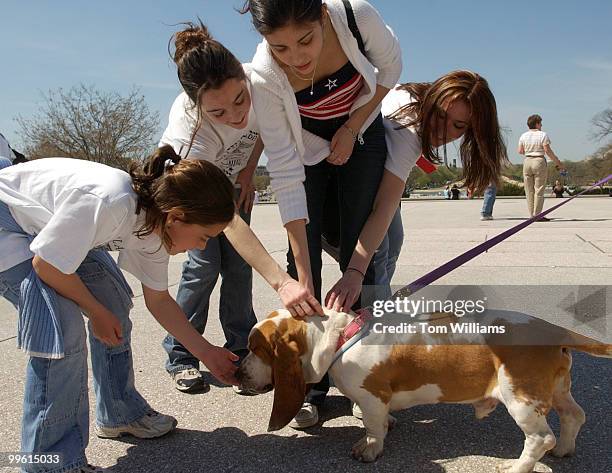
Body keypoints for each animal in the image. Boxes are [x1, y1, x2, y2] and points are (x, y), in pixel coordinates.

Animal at [237, 308, 608, 470]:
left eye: (256, 348)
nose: (237, 373)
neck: (339, 337)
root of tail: (555, 330)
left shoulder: (372, 397)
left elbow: (372, 427)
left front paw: (369, 449)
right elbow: (382, 421)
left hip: (521, 399)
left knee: (540, 439)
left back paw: (517, 467)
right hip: (556, 390)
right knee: (574, 416)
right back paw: (565, 450)